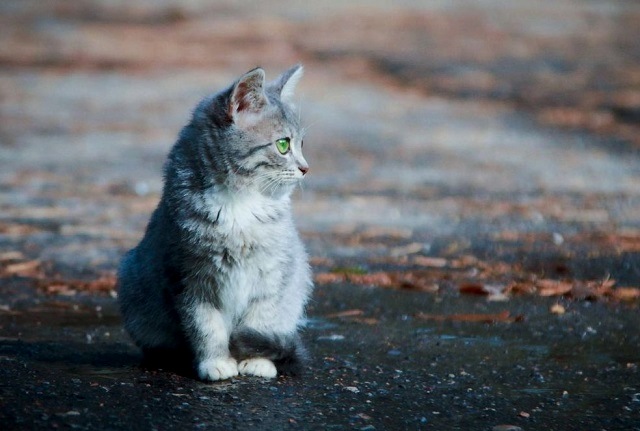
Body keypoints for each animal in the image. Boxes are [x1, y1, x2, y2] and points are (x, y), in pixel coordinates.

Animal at [119, 64, 314, 382]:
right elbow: (206, 327)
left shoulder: (275, 273)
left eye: (301, 144)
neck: (241, 204)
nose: (305, 168)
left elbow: (262, 319)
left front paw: (257, 361)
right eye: (283, 144)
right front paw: (216, 362)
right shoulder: (189, 279)